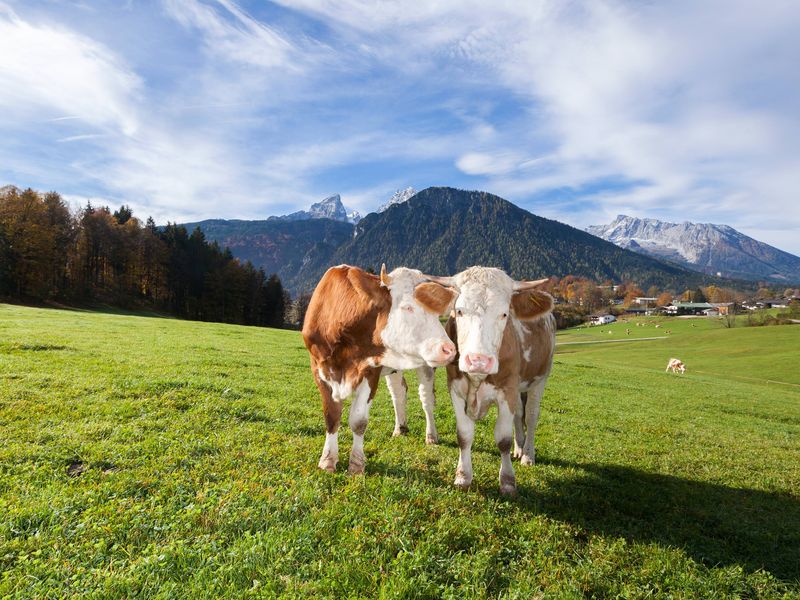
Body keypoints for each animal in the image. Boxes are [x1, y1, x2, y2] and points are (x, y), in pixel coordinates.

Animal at [304, 264, 456, 476]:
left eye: (435, 314)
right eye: (407, 307)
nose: (449, 349)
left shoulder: (371, 372)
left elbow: (358, 421)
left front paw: (356, 465)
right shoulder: (319, 370)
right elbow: (331, 417)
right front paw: (327, 461)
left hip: (426, 366)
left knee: (426, 399)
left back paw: (431, 435)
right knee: (399, 393)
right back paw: (400, 428)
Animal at [424, 270, 556, 494]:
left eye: (504, 314)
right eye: (459, 311)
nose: (479, 360)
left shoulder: (507, 390)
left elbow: (503, 440)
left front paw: (508, 482)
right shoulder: (455, 389)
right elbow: (464, 435)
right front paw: (463, 477)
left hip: (540, 379)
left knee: (530, 415)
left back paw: (527, 454)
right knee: (519, 414)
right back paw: (519, 448)